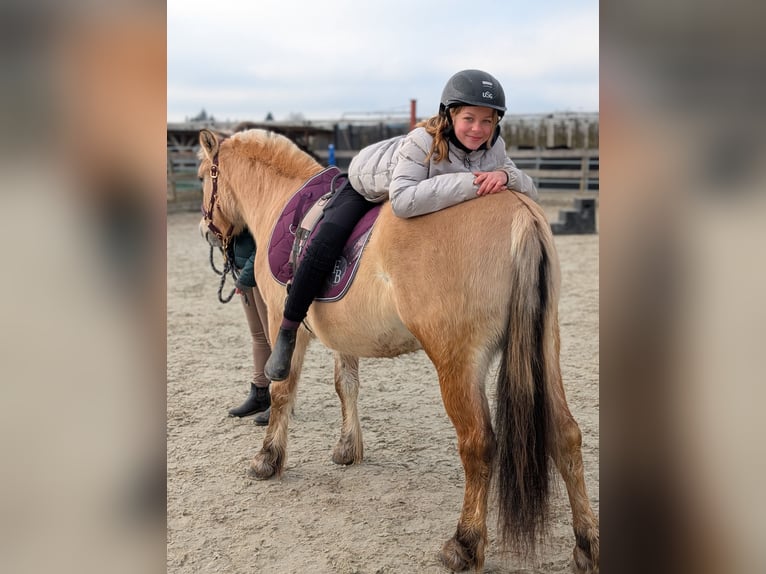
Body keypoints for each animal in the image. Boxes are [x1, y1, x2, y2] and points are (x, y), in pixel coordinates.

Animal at [197, 128, 599, 573]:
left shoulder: (284, 323)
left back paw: (464, 543)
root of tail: (520, 214)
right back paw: (586, 545)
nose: (206, 230)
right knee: (566, 435)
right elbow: (346, 386)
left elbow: (283, 390)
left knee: (478, 444)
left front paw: (267, 459)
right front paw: (347, 448)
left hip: (457, 363)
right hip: (544, 351)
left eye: (201, 177)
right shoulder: (343, 337)